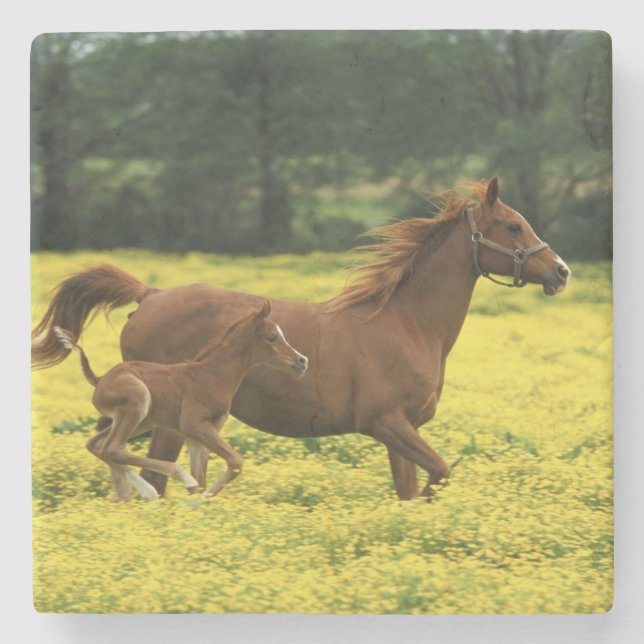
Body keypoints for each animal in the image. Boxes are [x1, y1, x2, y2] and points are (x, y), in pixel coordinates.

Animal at [52, 301, 308, 501]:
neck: (213, 375)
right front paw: (198, 500)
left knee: (98, 445)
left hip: (142, 420)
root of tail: (100, 379)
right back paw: (169, 483)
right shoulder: (192, 425)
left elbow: (203, 475)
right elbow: (234, 462)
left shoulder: (199, 433)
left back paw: (140, 493)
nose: (302, 361)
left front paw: (196, 503)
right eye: (272, 338)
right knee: (112, 448)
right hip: (138, 403)